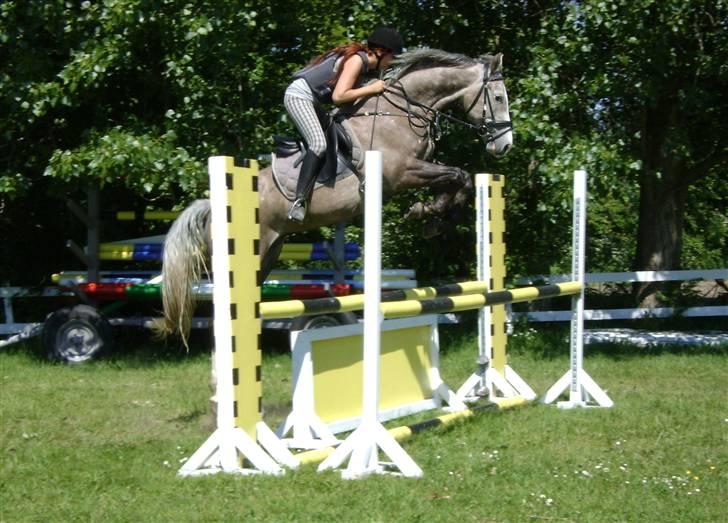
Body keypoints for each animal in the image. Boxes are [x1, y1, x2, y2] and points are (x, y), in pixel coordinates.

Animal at [159, 50, 512, 344]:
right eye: (498, 97)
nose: (505, 145)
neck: (401, 112)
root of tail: (215, 205)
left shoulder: (420, 168)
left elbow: (458, 179)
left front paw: (433, 216)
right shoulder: (402, 173)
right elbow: (457, 175)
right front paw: (427, 213)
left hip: (269, 251)